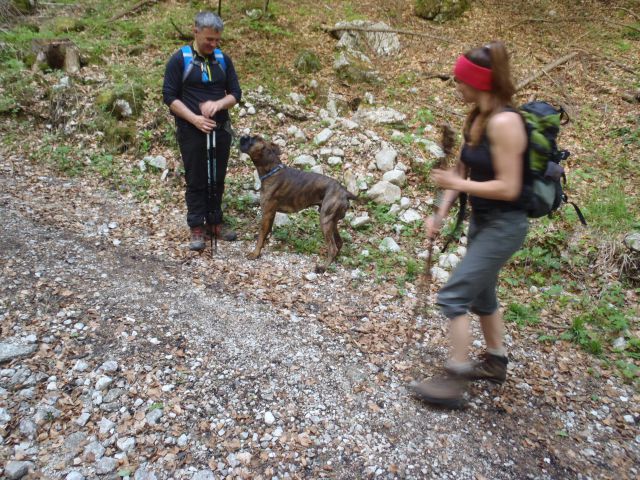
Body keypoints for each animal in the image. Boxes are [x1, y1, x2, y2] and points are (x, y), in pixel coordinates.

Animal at [239, 135, 358, 272]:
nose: (243, 136)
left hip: (325, 220)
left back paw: (323, 267)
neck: (272, 170)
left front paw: (255, 253)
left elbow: (261, 235)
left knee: (333, 247)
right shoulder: (271, 214)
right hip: (332, 221)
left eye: (251, 140)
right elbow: (266, 232)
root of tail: (345, 191)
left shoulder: (267, 213)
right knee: (339, 243)